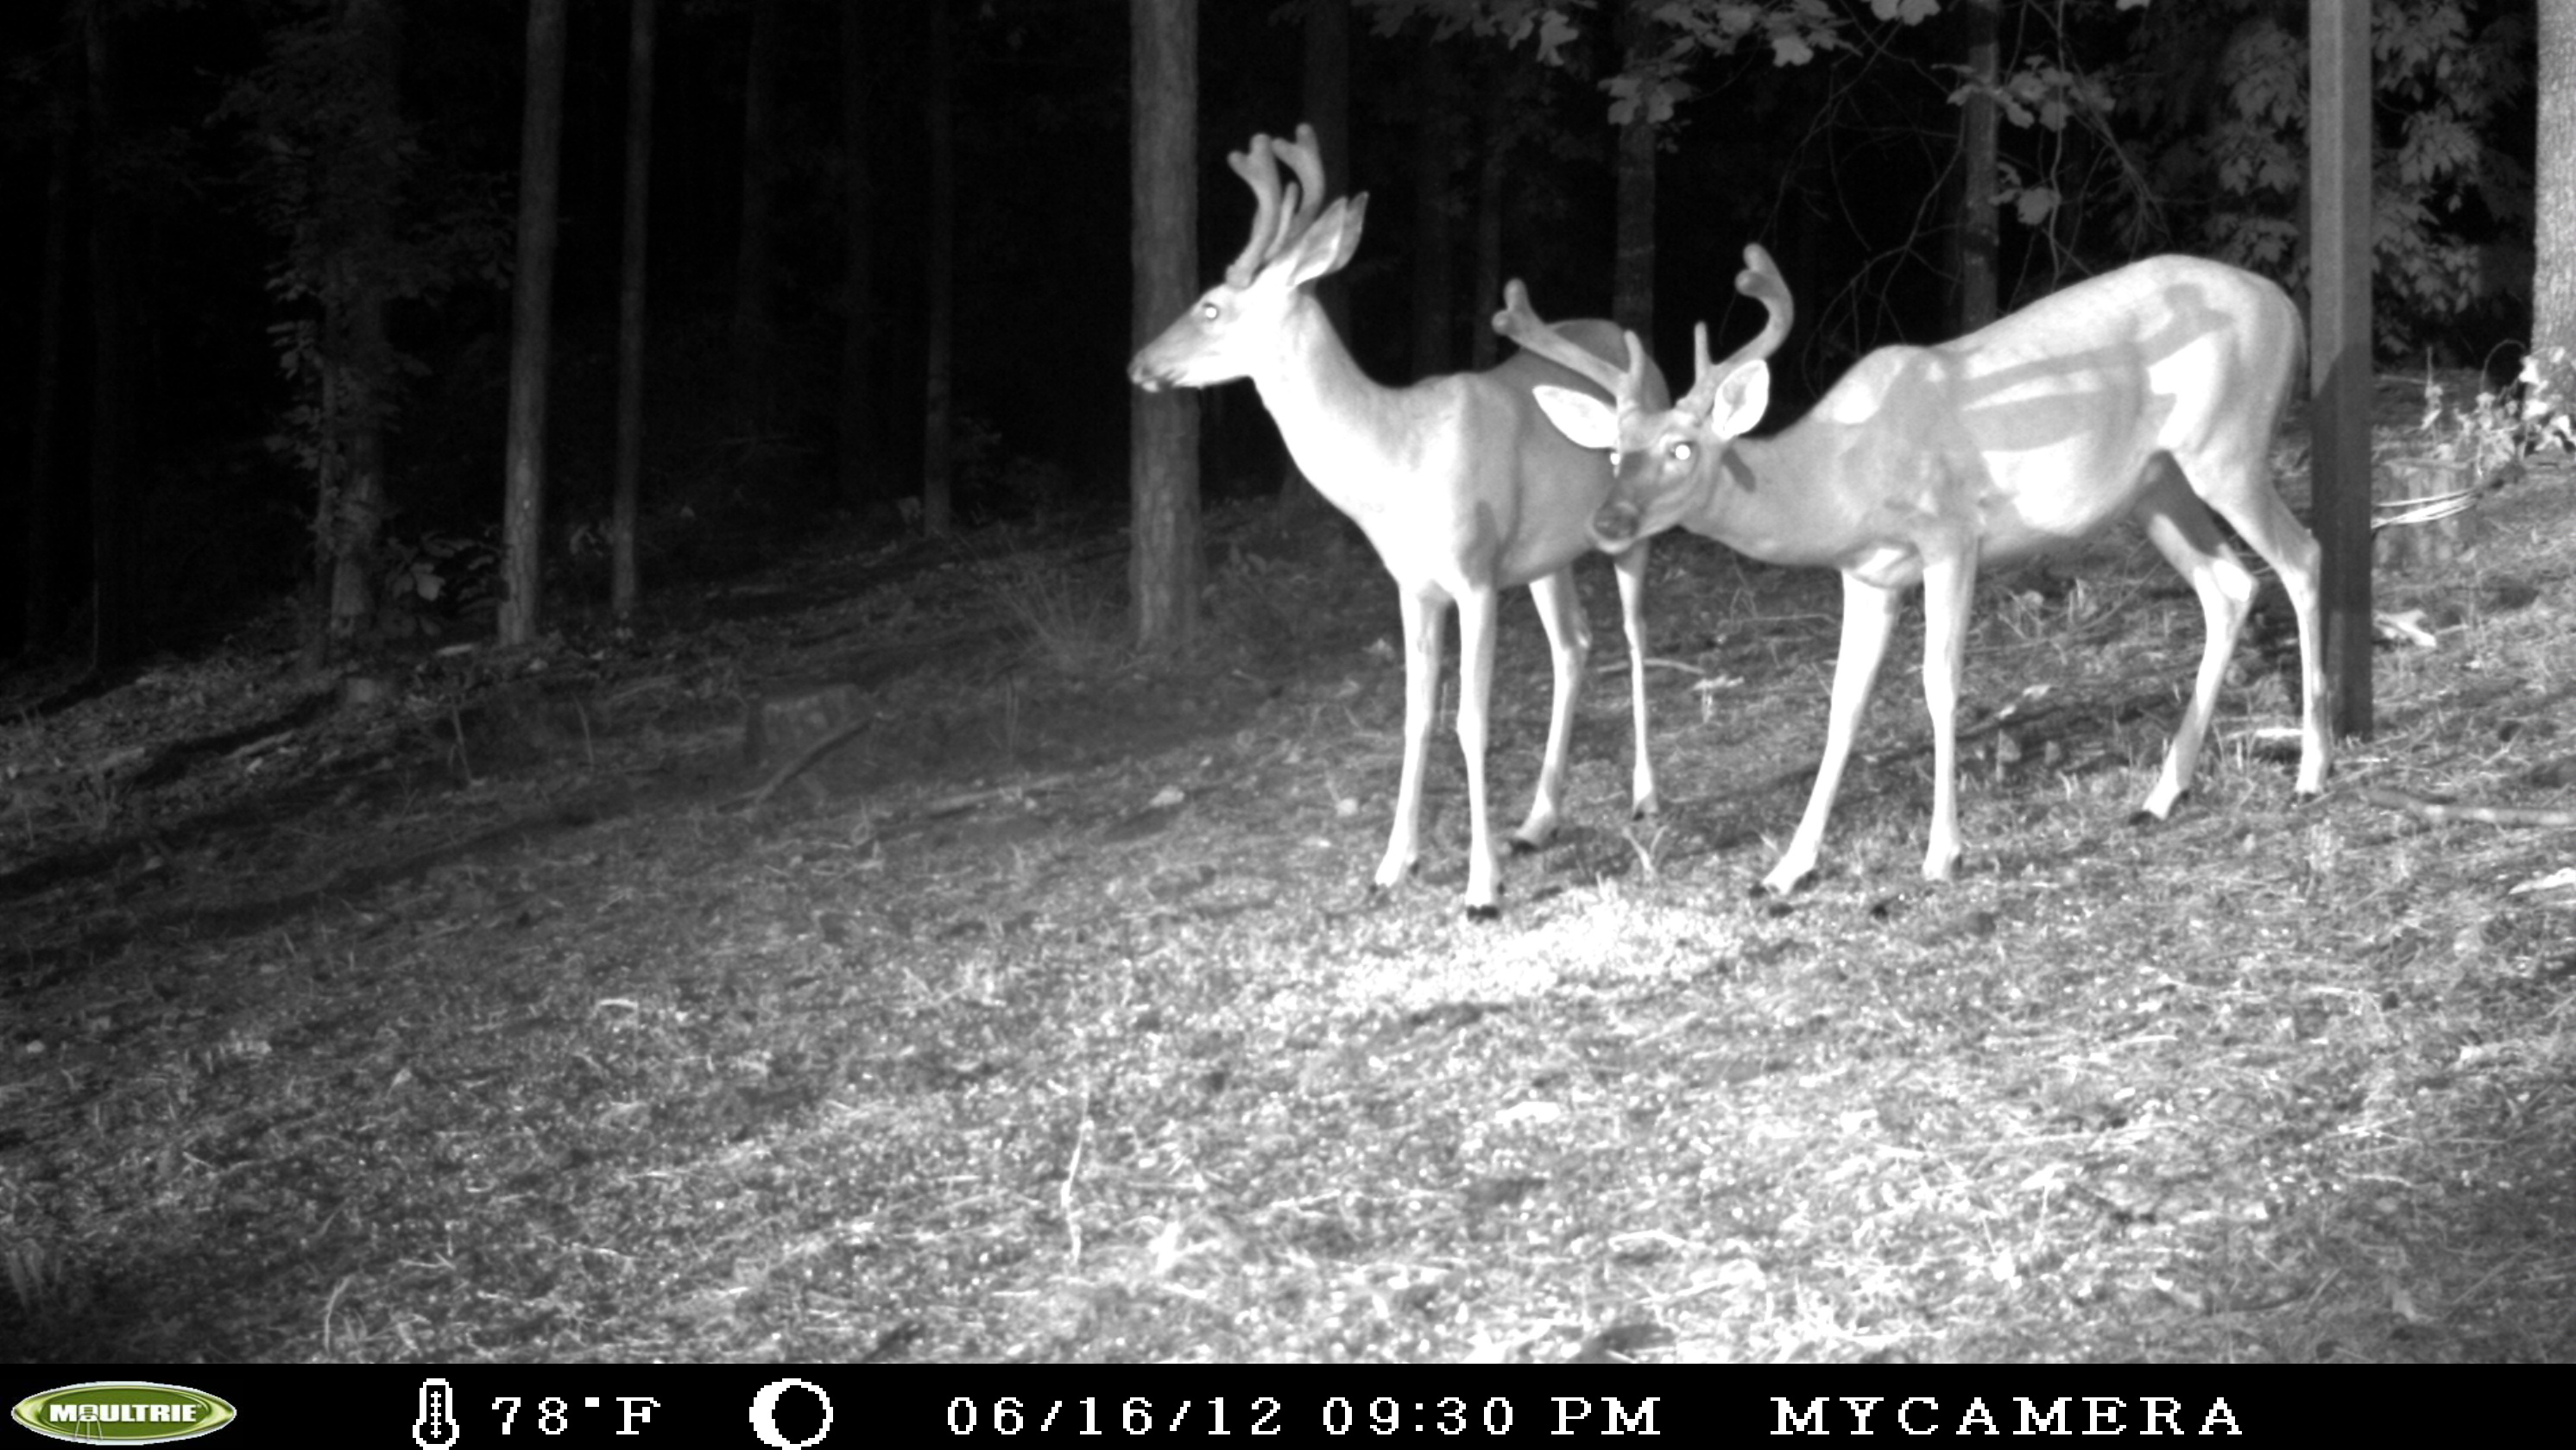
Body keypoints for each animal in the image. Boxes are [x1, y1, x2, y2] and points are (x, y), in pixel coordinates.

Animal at [1127, 124, 1677, 920]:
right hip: (1548, 553)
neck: (1395, 462)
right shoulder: (1412, 585)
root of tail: (1640, 351)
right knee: (1573, 647)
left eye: (1210, 306)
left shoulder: (1474, 574)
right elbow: (1417, 715)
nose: (1139, 362)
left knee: (1636, 637)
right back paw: (1537, 822)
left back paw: (1645, 796)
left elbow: (1470, 720)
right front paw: (1393, 864)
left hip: (1635, 526)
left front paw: (1481, 888)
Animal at [1496, 244, 2332, 896]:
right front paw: (1788, 868)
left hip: (2227, 446)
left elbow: (1939, 683)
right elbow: (1843, 704)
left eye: (1682, 448)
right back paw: (2163, 792)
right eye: (1613, 453)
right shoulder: (1867, 574)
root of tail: (2287, 308)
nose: (1607, 523)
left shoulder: (1951, 534)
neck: (1840, 478)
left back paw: (2312, 770)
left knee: (2303, 558)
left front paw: (1943, 853)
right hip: (2157, 488)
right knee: (2230, 588)